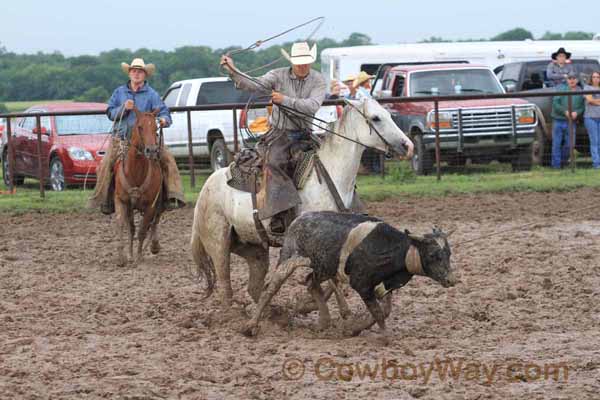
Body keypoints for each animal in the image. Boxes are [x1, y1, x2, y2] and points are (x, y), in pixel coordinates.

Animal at [115, 107, 164, 266]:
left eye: (156, 128)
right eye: (140, 127)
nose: (151, 150)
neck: (135, 172)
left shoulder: (150, 206)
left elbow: (142, 230)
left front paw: (139, 257)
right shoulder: (121, 201)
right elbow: (122, 224)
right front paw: (123, 257)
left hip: (158, 203)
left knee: (155, 221)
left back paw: (154, 245)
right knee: (132, 227)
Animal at [191, 98, 412, 308]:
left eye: (389, 114)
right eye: (376, 118)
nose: (407, 146)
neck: (330, 174)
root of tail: (206, 188)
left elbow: (336, 280)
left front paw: (309, 304)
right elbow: (330, 280)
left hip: (253, 248)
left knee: (253, 287)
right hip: (218, 244)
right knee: (225, 287)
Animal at [241, 212, 458, 338]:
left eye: (448, 253)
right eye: (434, 255)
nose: (451, 280)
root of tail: (296, 221)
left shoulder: (385, 284)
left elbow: (385, 309)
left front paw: (355, 327)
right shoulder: (361, 284)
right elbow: (378, 311)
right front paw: (384, 336)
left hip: (322, 267)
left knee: (311, 283)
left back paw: (324, 322)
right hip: (289, 259)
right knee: (270, 289)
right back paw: (250, 326)